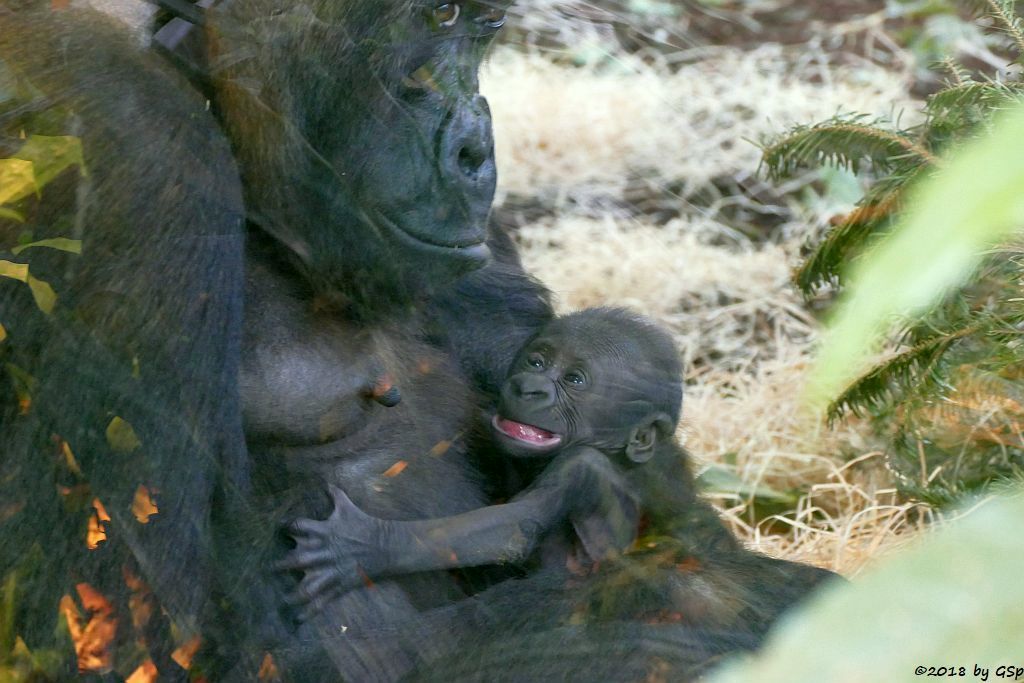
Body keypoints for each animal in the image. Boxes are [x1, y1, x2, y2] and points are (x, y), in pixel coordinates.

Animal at [286, 307, 737, 610]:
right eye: (537, 360)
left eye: (575, 380)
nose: (529, 387)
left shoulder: (580, 467)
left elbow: (511, 531)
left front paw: (365, 546)